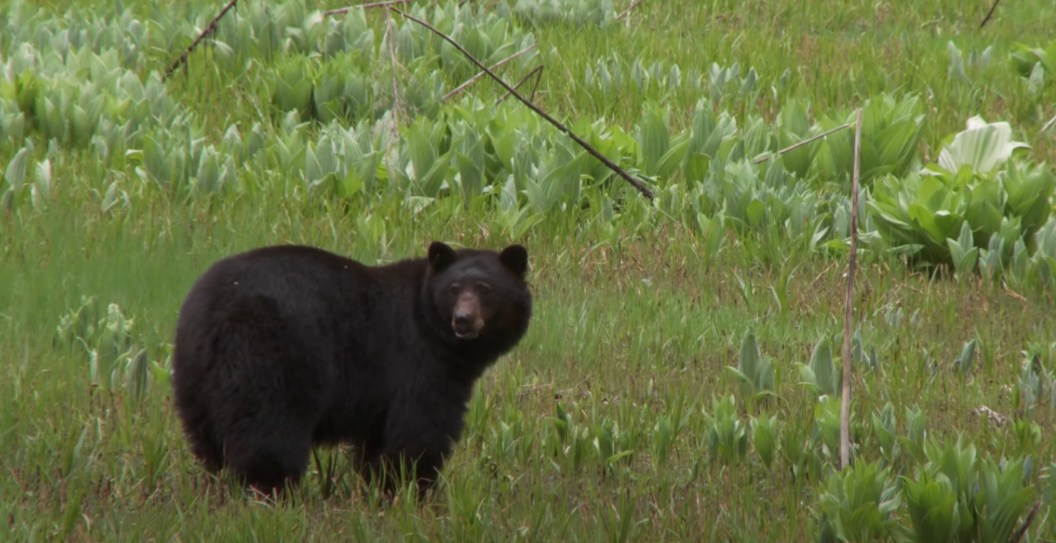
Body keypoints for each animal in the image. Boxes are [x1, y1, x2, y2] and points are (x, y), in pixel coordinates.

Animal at [171, 241, 531, 497]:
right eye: (454, 289)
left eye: (485, 288)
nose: (463, 320)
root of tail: (208, 312)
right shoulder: (419, 363)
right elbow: (419, 429)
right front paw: (414, 491)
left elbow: (378, 442)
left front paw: (378, 488)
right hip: (264, 355)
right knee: (267, 430)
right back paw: (269, 490)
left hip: (194, 380)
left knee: (208, 441)